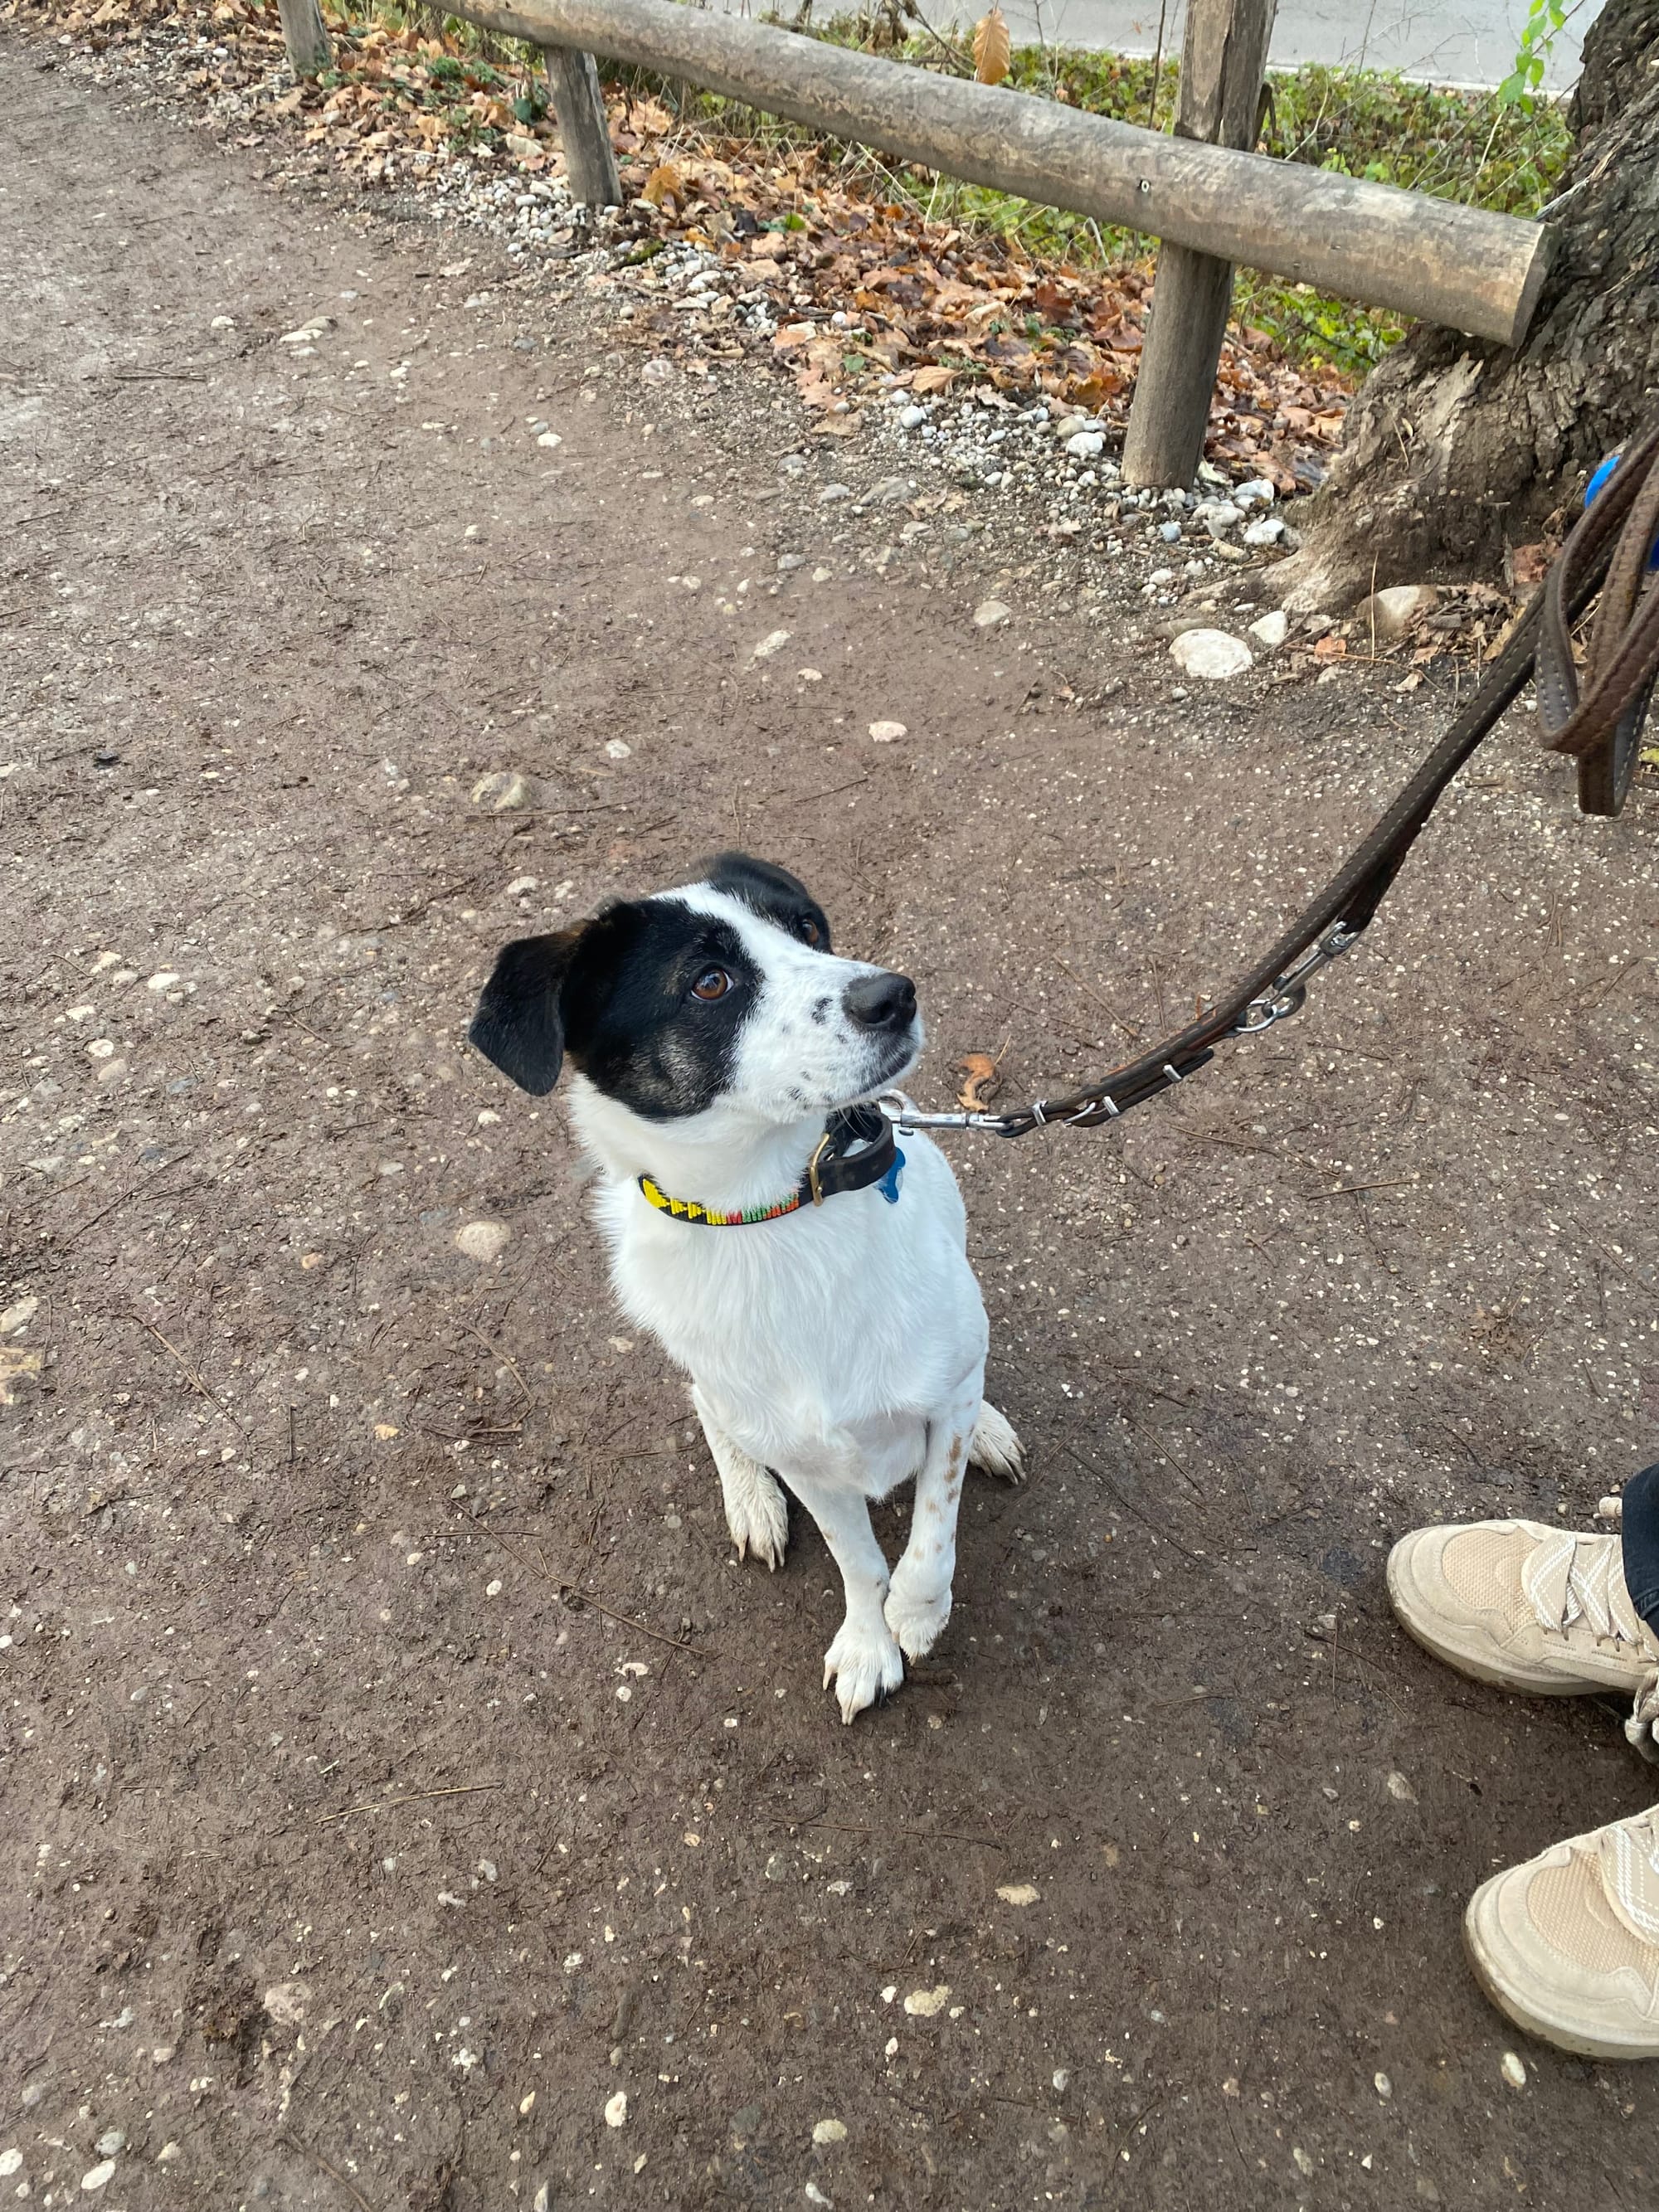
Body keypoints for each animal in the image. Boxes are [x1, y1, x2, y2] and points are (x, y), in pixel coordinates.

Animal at [469, 852, 1021, 1721]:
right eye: (710, 983)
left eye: (807, 930)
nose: (895, 995)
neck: (776, 1214)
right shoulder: (809, 1459)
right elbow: (859, 1559)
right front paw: (870, 1640)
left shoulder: (943, 1398)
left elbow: (935, 1522)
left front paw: (918, 1612)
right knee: (709, 1408)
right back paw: (750, 1496)